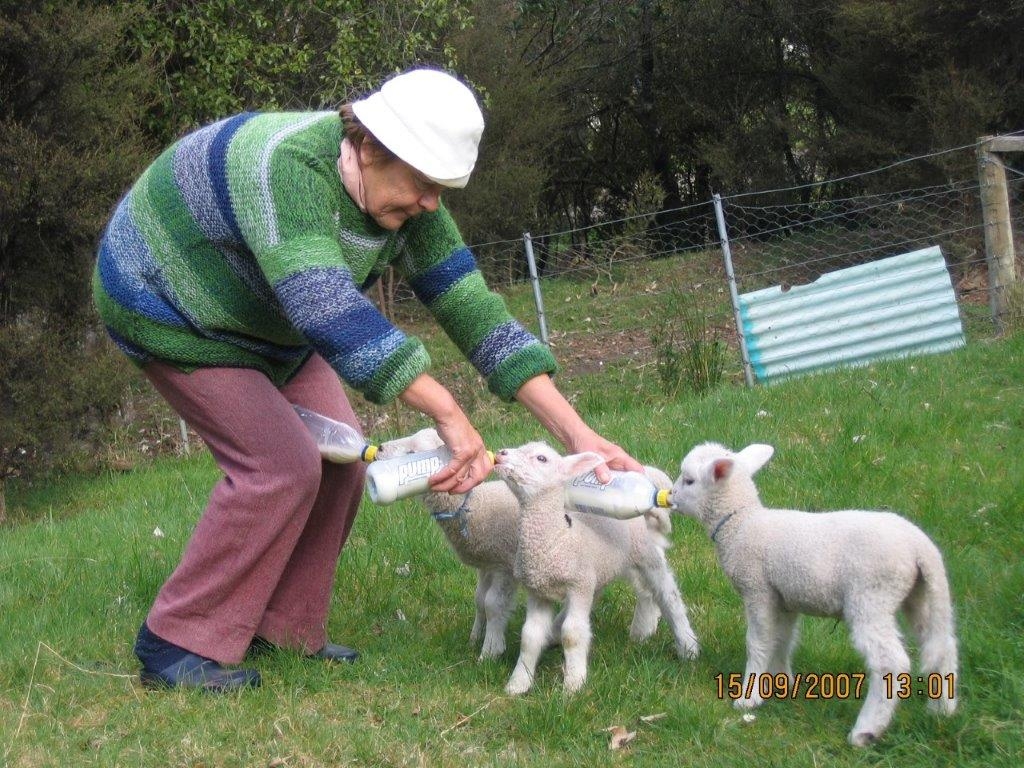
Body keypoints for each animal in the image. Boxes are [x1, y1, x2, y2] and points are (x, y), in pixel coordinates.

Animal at [491, 438, 700, 696]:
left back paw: (687, 645)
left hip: (644, 552)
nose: (500, 454)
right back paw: (641, 629)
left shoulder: (579, 585)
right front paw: (518, 683)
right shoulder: (539, 591)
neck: (557, 538)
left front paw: (573, 684)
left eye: (542, 458)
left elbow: (573, 633)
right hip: (606, 566)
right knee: (642, 592)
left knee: (667, 594)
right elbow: (530, 636)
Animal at [667, 442, 954, 749]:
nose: (669, 496)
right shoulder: (784, 599)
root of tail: (921, 548)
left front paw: (749, 698)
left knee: (892, 662)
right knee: (943, 644)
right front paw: (782, 682)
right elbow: (782, 640)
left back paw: (865, 730)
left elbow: (758, 642)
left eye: (689, 481)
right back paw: (942, 711)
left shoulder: (758, 590)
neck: (741, 523)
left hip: (871, 596)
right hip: (919, 594)